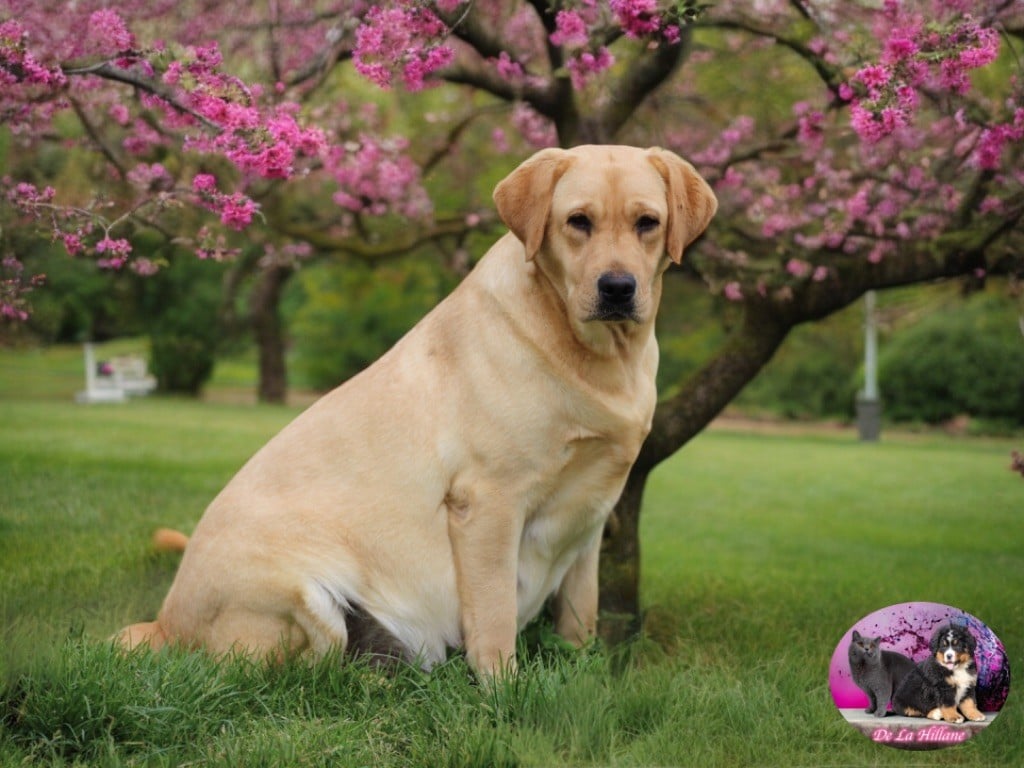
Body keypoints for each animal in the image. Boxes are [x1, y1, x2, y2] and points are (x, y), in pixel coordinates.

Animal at [116, 147, 716, 675]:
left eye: (647, 222)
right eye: (578, 222)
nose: (617, 288)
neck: (601, 356)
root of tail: (164, 625)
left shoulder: (592, 516)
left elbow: (581, 618)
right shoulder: (489, 503)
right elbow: (495, 623)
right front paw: (502, 693)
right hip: (303, 597)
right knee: (295, 675)